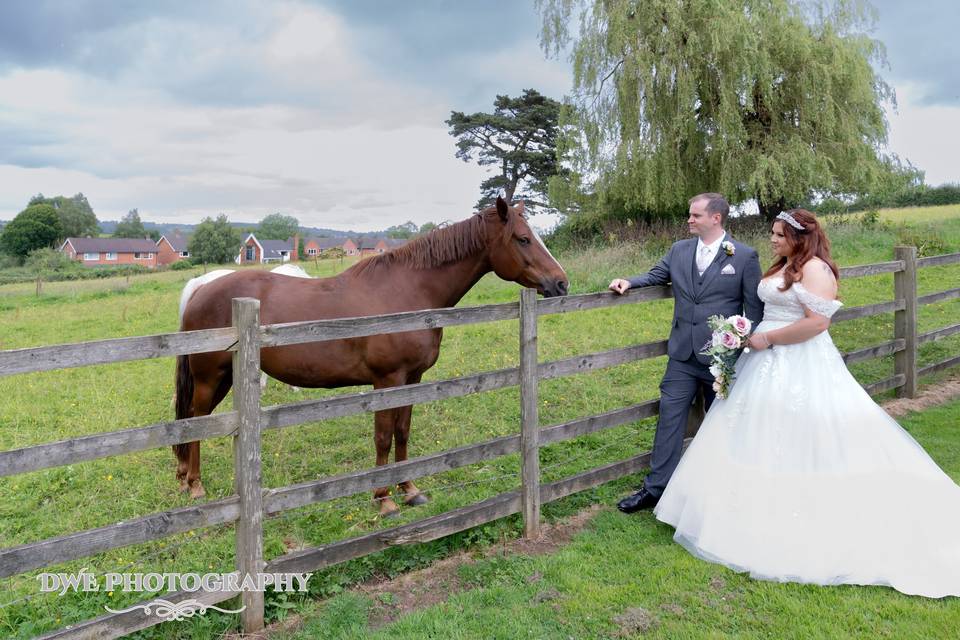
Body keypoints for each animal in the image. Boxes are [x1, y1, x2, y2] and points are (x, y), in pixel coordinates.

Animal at [173, 198, 568, 516]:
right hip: (210, 378)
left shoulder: (412, 379)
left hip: (226, 379)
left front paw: (410, 490)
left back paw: (183, 476)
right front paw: (384, 498)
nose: (561, 283)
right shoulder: (386, 380)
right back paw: (195, 485)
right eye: (523, 238)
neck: (406, 291)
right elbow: (383, 436)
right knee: (195, 419)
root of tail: (201, 288)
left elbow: (403, 432)